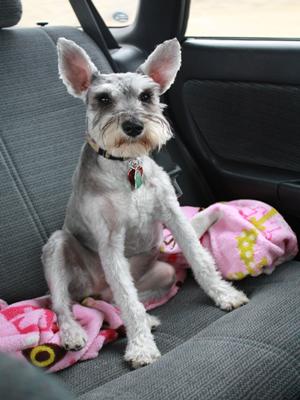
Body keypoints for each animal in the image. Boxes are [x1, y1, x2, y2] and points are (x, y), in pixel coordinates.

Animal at [42, 38, 248, 368]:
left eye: (147, 95)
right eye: (103, 99)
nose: (133, 126)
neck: (125, 166)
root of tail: (95, 291)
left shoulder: (172, 214)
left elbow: (199, 259)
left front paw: (224, 295)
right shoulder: (110, 241)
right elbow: (128, 300)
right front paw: (141, 348)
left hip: (163, 274)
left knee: (115, 301)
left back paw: (146, 320)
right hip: (57, 248)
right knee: (66, 304)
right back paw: (74, 333)